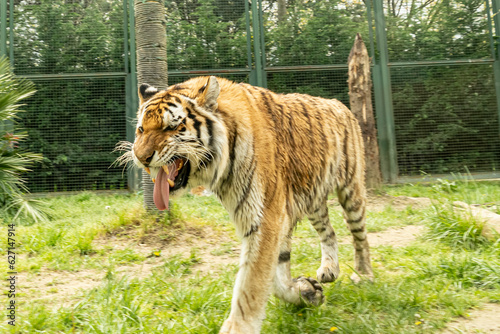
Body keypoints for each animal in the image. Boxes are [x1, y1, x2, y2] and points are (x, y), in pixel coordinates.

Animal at [122, 76, 372, 334]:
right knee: (329, 232)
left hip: (351, 191)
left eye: (171, 127)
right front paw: (307, 292)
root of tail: (339, 104)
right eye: (141, 129)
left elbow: (251, 284)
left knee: (360, 236)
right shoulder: (274, 217)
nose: (140, 157)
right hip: (314, 200)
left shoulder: (266, 217)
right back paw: (330, 270)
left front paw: (238, 328)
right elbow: (277, 275)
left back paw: (364, 275)